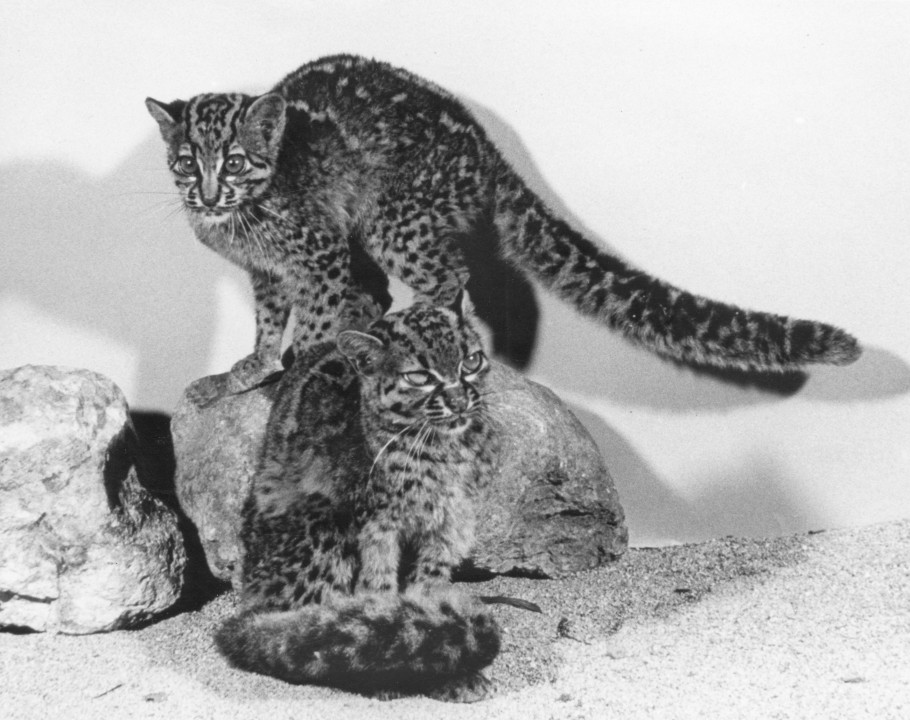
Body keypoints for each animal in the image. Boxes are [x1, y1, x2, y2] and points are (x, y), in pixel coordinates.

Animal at [146, 54, 860, 394]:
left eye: (235, 161)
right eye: (185, 162)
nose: (206, 195)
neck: (241, 224)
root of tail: (484, 146)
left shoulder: (317, 252)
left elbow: (314, 316)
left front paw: (304, 361)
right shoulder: (267, 274)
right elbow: (268, 322)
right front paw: (252, 366)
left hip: (391, 222)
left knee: (450, 273)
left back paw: (420, 324)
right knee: (384, 288)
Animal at [216, 294, 502, 704]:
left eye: (472, 361)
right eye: (420, 377)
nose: (460, 400)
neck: (439, 451)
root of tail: (249, 603)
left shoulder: (447, 526)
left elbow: (426, 597)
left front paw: (444, 666)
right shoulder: (376, 529)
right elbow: (377, 598)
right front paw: (403, 666)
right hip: (323, 526)